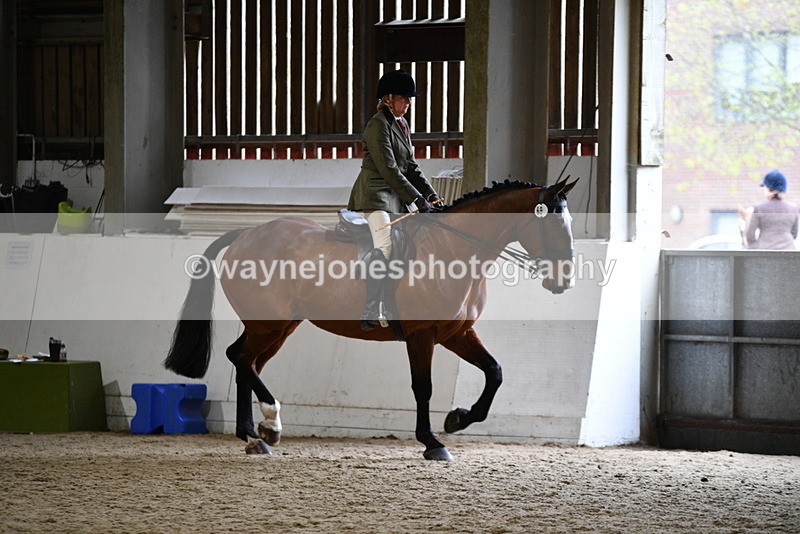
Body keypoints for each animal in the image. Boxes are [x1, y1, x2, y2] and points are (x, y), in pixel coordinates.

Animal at [165, 178, 578, 460]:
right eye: (554, 223)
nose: (565, 281)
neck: (454, 249)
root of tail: (245, 234)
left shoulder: (457, 333)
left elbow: (495, 372)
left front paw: (457, 419)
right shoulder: (422, 335)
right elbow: (423, 387)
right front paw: (432, 442)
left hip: (277, 327)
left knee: (248, 363)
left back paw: (255, 435)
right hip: (268, 324)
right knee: (239, 358)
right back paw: (270, 424)